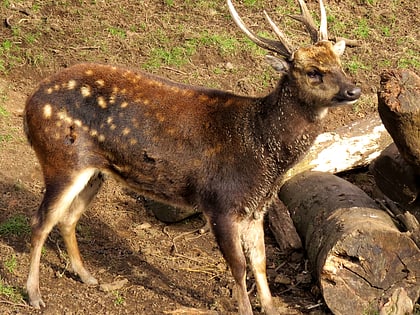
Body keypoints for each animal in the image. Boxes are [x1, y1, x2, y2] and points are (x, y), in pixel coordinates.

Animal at [23, 0, 360, 314]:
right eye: (313, 72)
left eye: (340, 62)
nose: (354, 90)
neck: (261, 147)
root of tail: (29, 105)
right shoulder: (220, 203)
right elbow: (239, 267)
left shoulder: (256, 209)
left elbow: (260, 263)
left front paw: (271, 308)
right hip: (60, 159)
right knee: (40, 220)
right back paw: (35, 294)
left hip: (94, 172)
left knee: (68, 218)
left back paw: (88, 277)